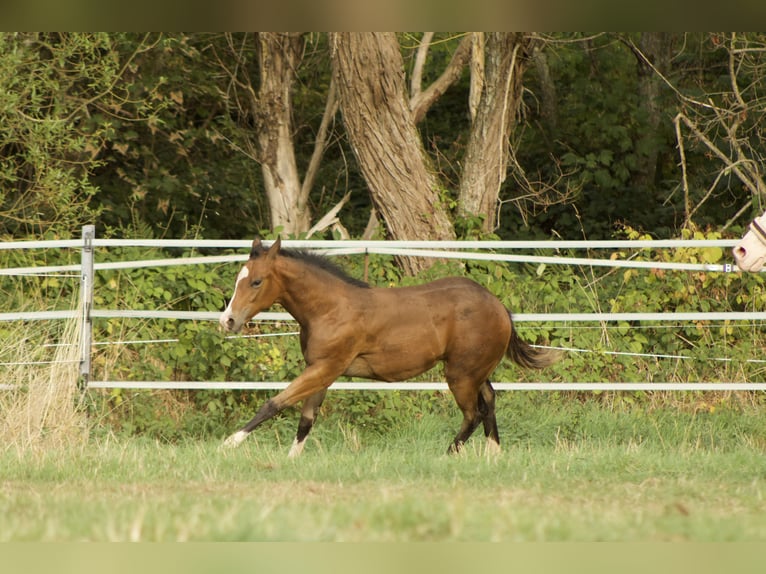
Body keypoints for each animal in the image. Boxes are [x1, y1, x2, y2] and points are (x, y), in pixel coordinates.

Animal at [218, 237, 562, 457]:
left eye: (257, 281)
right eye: (238, 279)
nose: (228, 320)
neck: (330, 308)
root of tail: (499, 307)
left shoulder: (326, 367)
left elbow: (275, 403)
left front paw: (228, 444)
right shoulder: (321, 370)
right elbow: (306, 419)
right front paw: (291, 461)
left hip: (460, 374)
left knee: (472, 413)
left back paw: (446, 455)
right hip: (476, 370)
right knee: (489, 401)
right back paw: (493, 455)